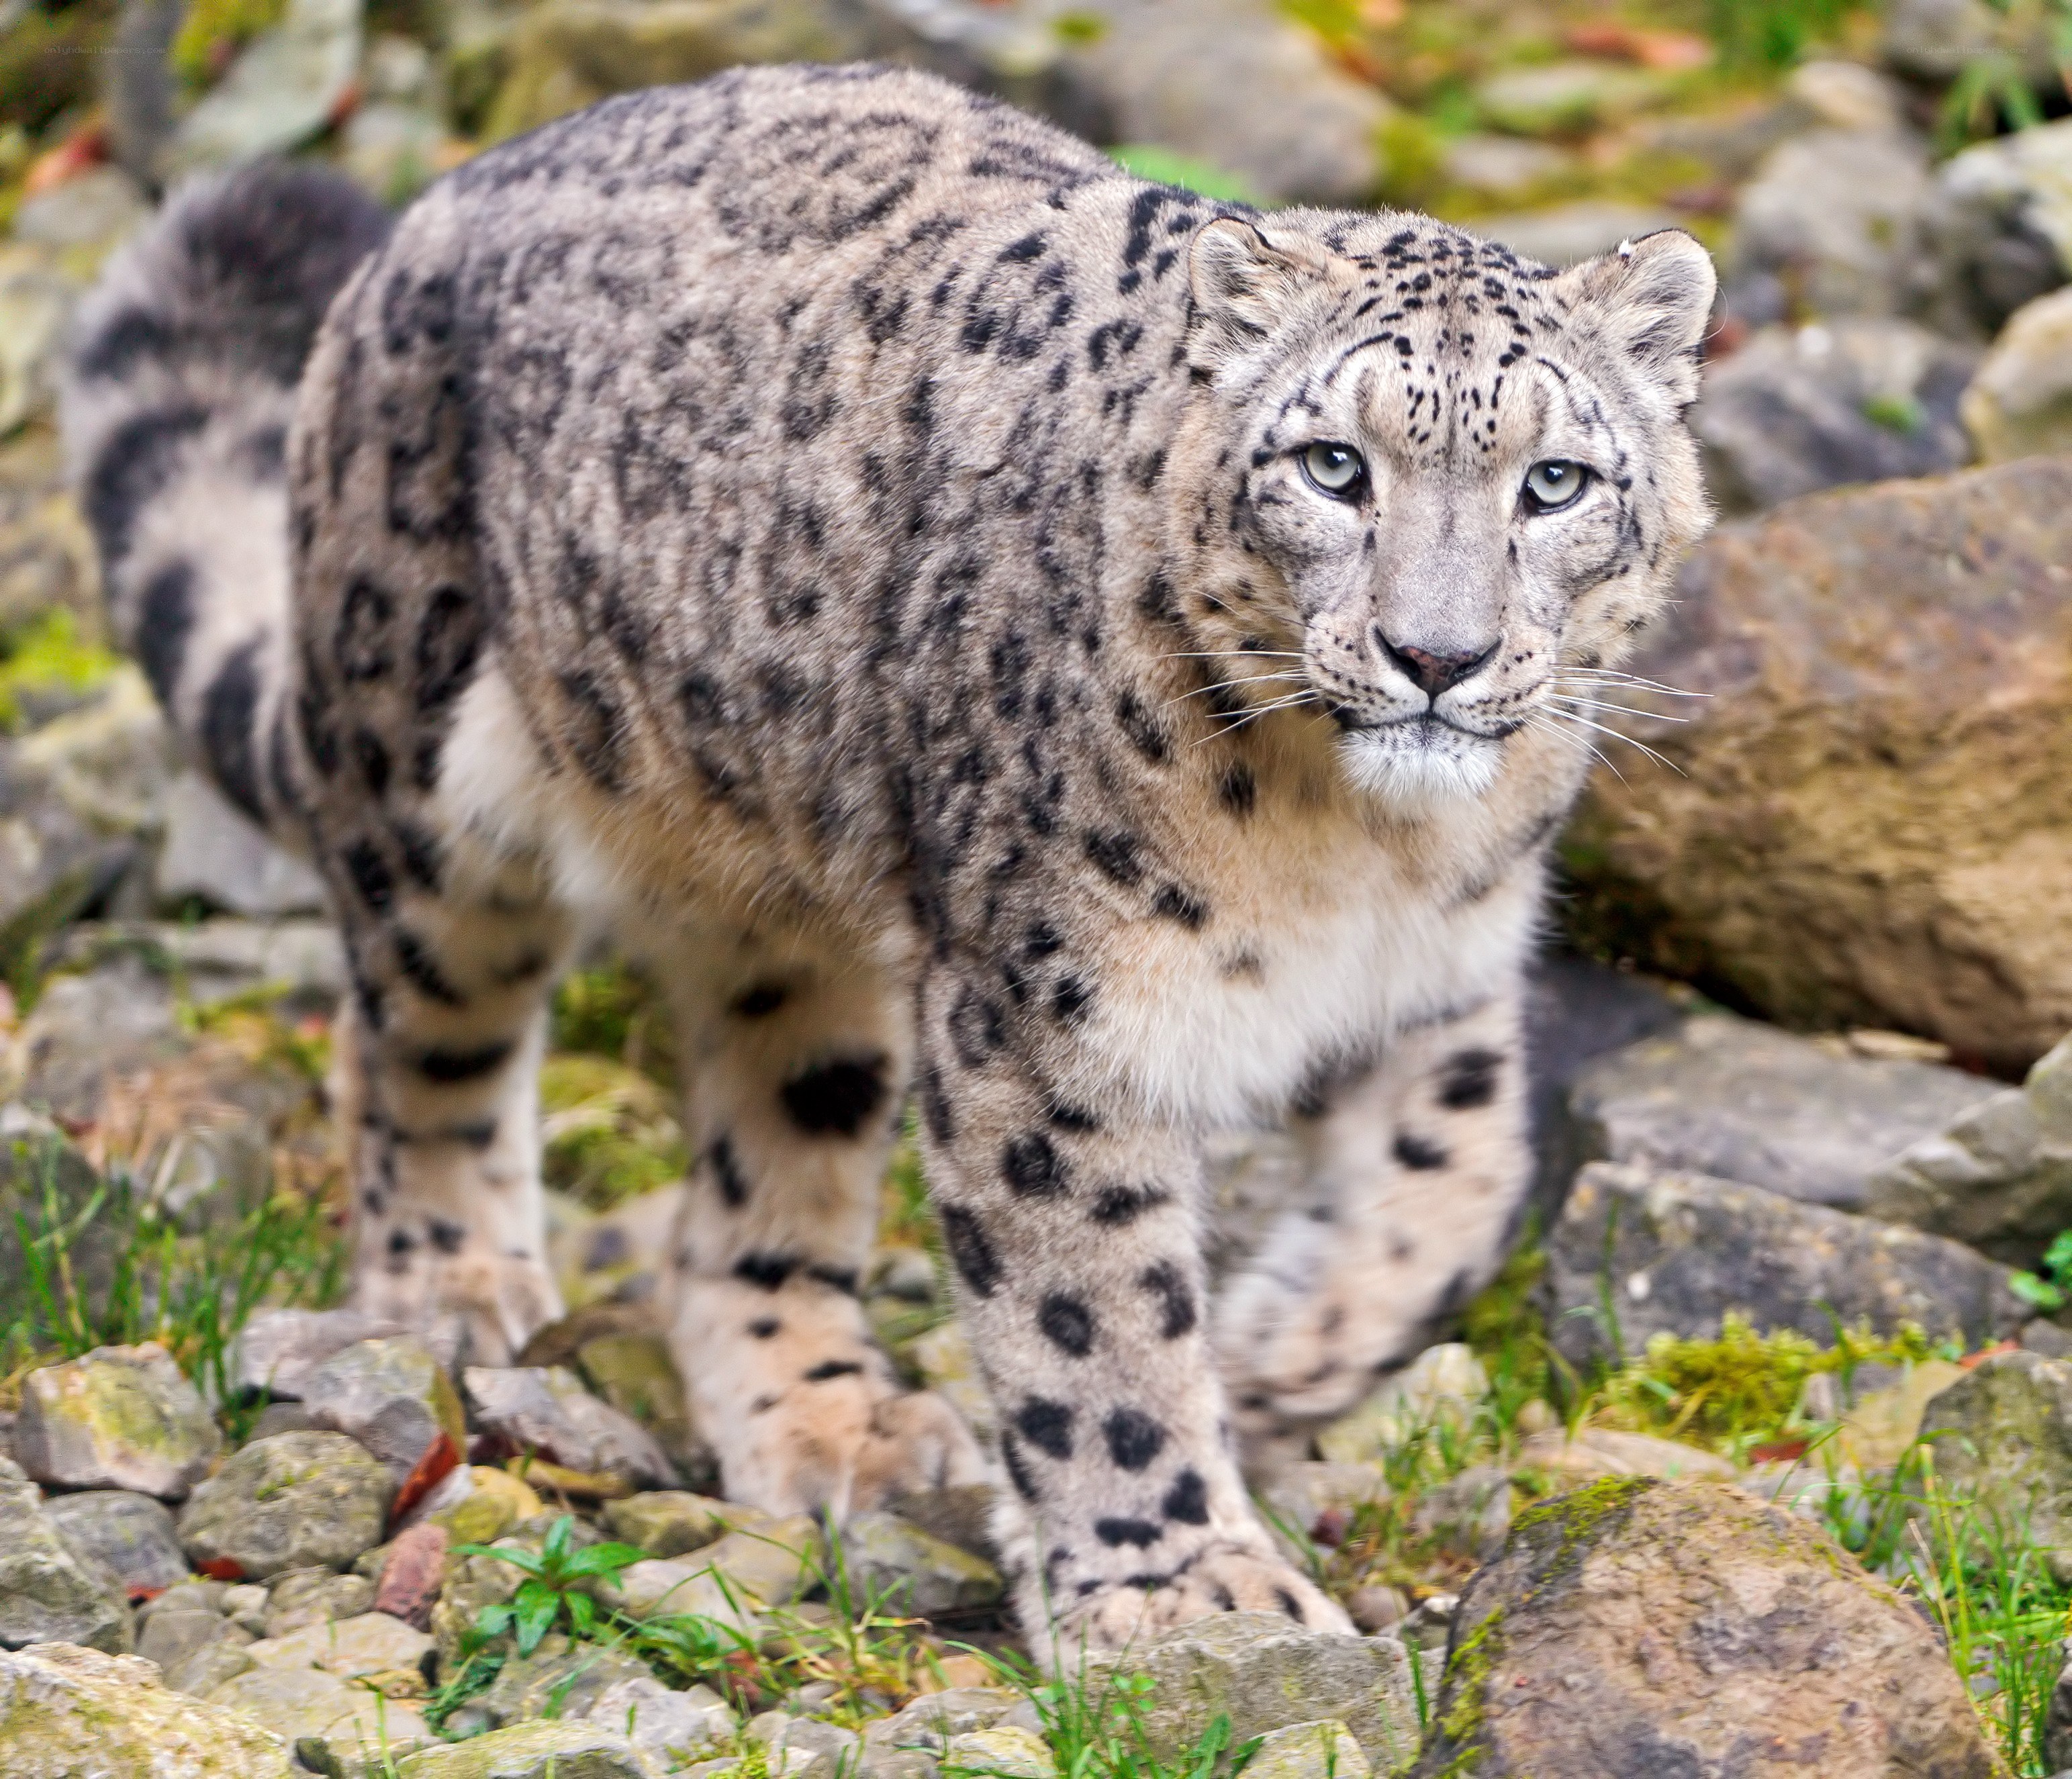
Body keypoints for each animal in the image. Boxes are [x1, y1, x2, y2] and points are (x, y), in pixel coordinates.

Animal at [63, 60, 1716, 1662]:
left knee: (750, 1175)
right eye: (1332, 466)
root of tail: (420, 225)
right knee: (414, 1040)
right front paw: (1178, 1587)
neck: (1358, 850)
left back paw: (837, 1422)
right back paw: (455, 1287)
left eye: (1556, 483)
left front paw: (1280, 1356)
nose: (1436, 655)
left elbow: (1459, 1180)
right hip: (420, 777)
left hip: (797, 927)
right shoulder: (1055, 1012)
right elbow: (1092, 1314)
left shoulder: (1444, 976)